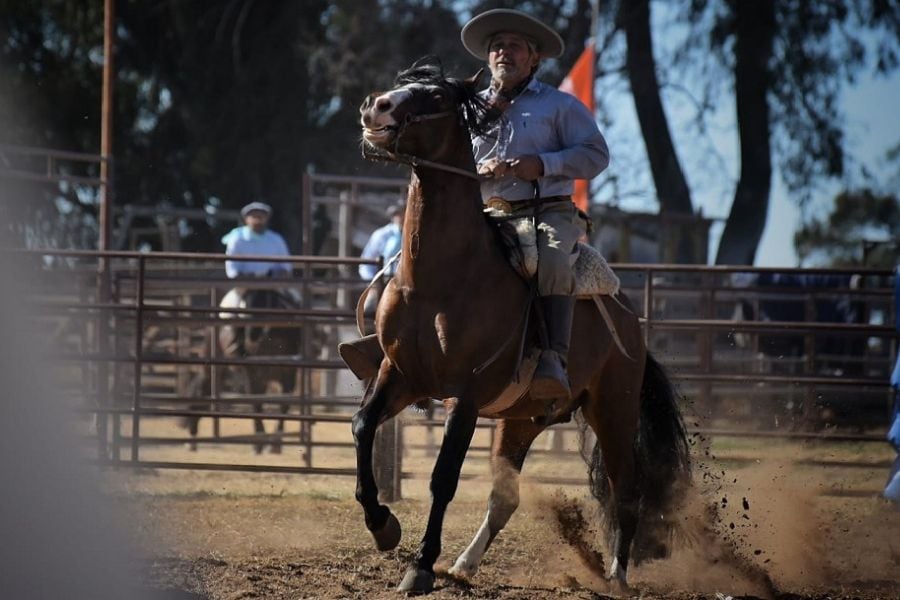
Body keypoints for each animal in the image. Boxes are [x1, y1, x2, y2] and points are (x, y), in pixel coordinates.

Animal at [352, 63, 688, 596]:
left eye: (435, 96)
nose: (375, 106)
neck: (442, 279)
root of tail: (631, 323)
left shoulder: (464, 395)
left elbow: (443, 477)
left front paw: (420, 565)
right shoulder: (400, 377)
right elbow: (363, 426)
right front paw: (384, 526)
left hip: (613, 410)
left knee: (626, 489)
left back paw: (616, 575)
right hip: (521, 419)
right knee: (504, 497)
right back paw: (464, 565)